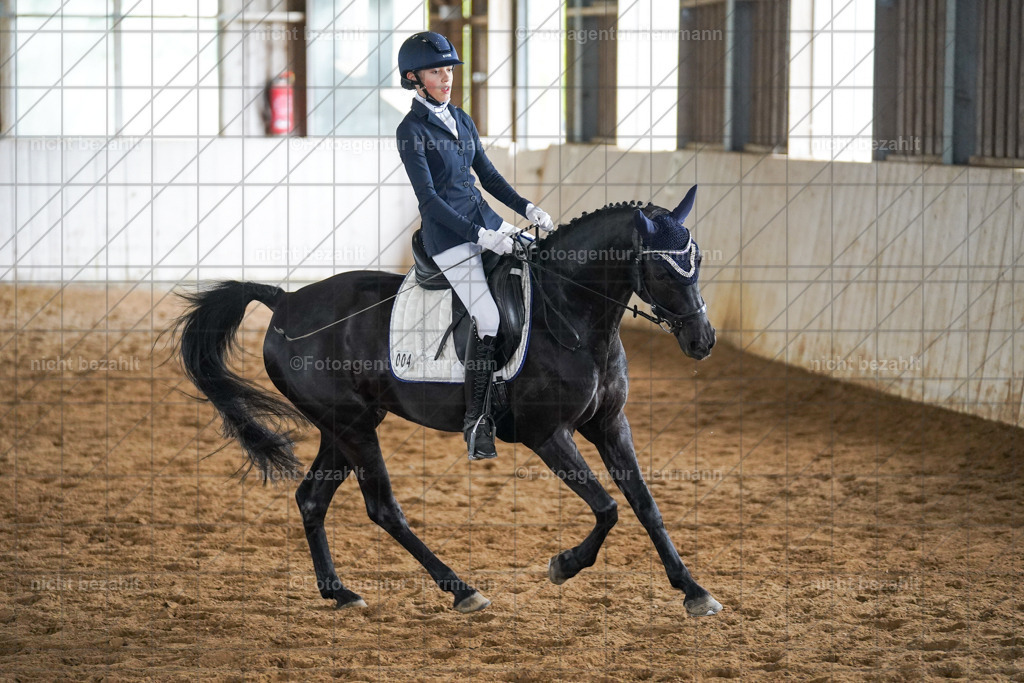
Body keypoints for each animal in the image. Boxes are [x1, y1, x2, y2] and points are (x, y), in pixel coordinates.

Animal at [174, 185, 722, 617]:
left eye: (696, 261)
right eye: (664, 271)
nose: (703, 342)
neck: (570, 315)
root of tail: (285, 300)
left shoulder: (610, 424)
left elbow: (645, 504)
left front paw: (694, 591)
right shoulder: (548, 435)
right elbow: (607, 507)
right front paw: (563, 565)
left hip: (346, 425)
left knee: (312, 499)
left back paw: (340, 592)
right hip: (353, 426)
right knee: (383, 508)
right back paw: (461, 590)